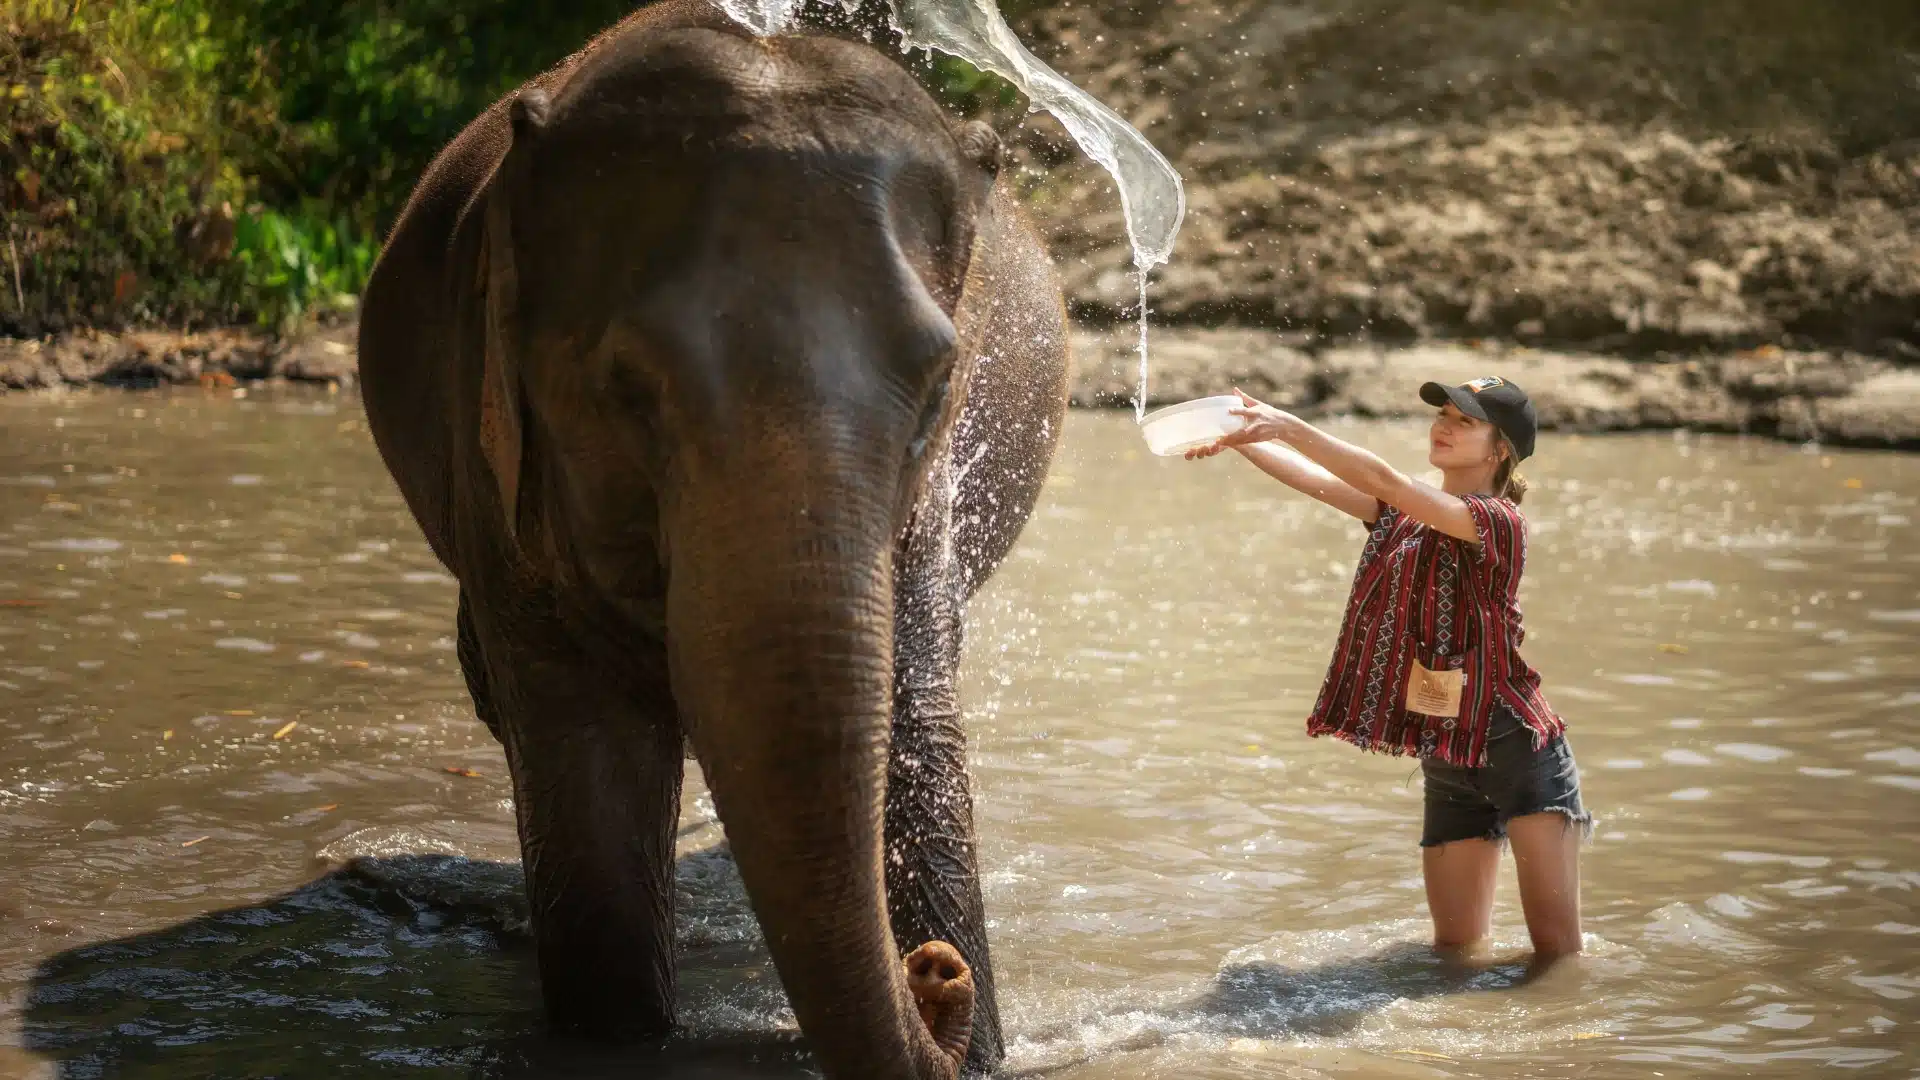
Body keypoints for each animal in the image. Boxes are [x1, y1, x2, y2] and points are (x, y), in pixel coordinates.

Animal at [354, 1, 1070, 1077]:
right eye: (625, 389)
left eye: (941, 381)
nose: (935, 971)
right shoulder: (494, 467)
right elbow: (583, 752)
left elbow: (914, 713)